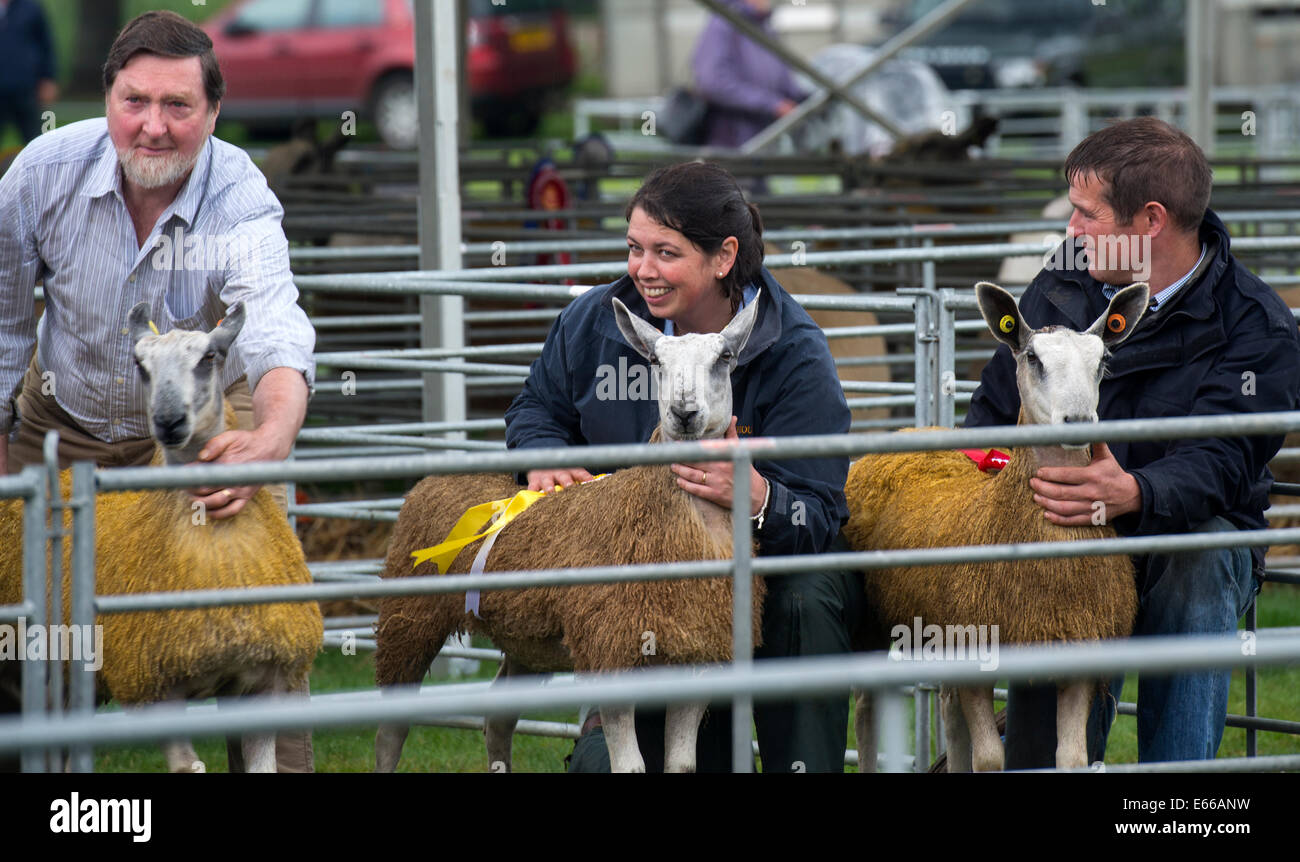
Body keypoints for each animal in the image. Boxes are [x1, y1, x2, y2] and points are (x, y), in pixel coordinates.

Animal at [0, 302, 323, 774]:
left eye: (209, 357)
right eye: (140, 364)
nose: (169, 421)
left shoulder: (266, 682)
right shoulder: (151, 688)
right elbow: (190, 768)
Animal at [371, 293, 764, 769]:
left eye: (724, 358)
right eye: (656, 361)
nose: (684, 413)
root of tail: (430, 482)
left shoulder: (698, 654)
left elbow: (682, 763)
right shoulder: (608, 652)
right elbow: (631, 765)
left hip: (525, 640)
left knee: (496, 720)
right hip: (409, 616)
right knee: (391, 731)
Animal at [842, 283, 1149, 774]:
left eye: (1102, 360)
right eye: (1033, 358)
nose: (1078, 422)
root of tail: (909, 430)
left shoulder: (1079, 651)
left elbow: (1071, 756)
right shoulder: (976, 646)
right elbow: (988, 758)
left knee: (948, 710)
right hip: (871, 622)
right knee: (867, 708)